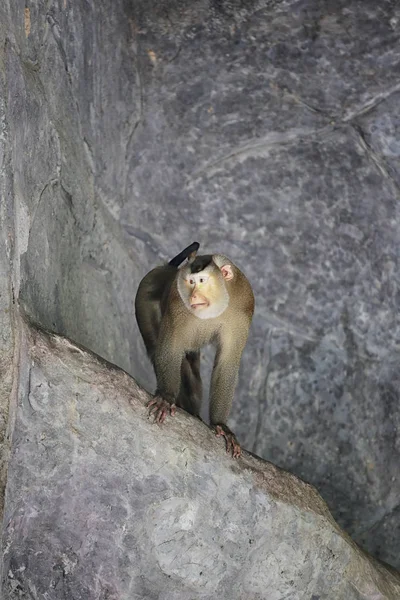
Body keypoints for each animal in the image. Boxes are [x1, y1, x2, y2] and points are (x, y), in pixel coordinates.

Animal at [134, 241, 253, 458]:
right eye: (190, 282)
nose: (194, 295)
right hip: (145, 294)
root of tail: (167, 269)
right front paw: (166, 396)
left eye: (202, 280)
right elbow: (171, 347)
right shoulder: (177, 303)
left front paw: (220, 425)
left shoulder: (243, 310)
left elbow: (227, 363)